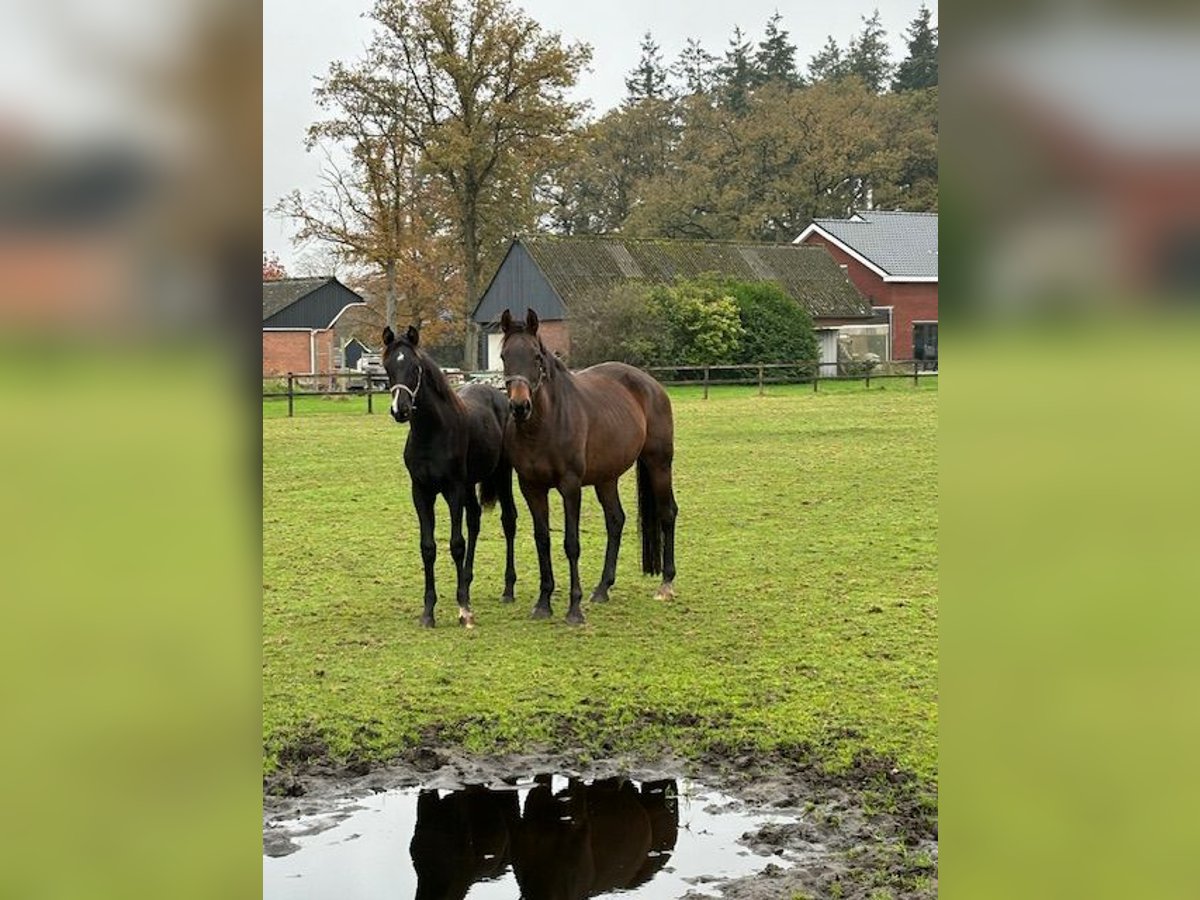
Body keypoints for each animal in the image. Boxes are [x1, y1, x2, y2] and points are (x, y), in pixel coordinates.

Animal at [384, 324, 516, 628]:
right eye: (388, 367)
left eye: (415, 367)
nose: (400, 410)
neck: (432, 432)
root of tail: (498, 394)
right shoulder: (421, 492)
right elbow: (428, 547)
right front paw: (428, 612)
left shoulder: (453, 489)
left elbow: (456, 544)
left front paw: (464, 610)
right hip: (469, 485)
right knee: (475, 520)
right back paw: (466, 582)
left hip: (501, 475)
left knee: (508, 521)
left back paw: (507, 589)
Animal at [496, 307, 676, 624]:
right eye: (505, 356)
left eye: (536, 357)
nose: (519, 407)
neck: (544, 426)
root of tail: (652, 385)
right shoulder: (532, 487)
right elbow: (542, 539)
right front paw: (543, 602)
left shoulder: (570, 487)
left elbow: (571, 543)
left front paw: (574, 608)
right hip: (606, 478)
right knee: (616, 521)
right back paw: (603, 588)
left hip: (659, 464)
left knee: (668, 513)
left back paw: (666, 584)